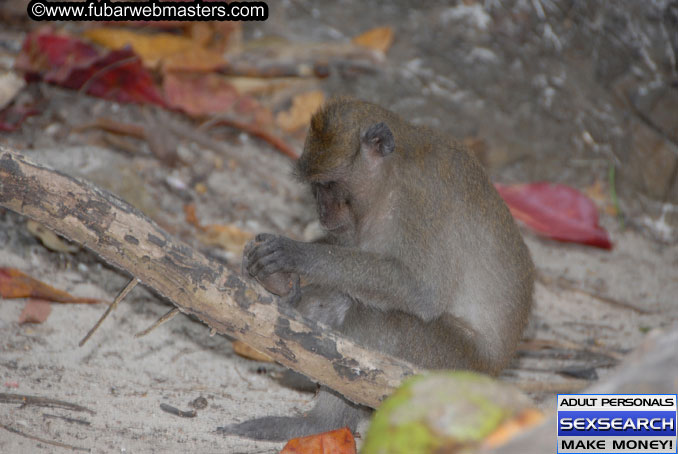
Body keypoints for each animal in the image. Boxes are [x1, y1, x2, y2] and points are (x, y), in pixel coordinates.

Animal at [220, 98, 532, 440]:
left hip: (447, 368)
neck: (393, 174)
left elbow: (421, 290)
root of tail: (494, 372)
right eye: (315, 188)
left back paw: (320, 424)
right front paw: (278, 283)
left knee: (379, 319)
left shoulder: (421, 197)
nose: (322, 211)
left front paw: (296, 255)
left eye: (328, 185)